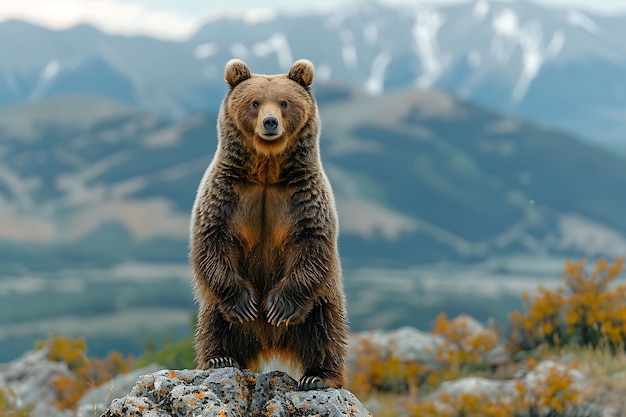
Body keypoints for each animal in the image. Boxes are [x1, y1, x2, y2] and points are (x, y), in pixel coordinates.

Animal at [188, 58, 348, 390]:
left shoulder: (303, 197)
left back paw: (319, 375)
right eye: (255, 102)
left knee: (325, 329)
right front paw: (246, 303)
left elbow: (312, 244)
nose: (271, 122)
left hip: (321, 299)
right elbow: (212, 240)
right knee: (213, 325)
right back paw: (219, 358)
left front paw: (277, 306)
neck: (266, 170)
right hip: (215, 310)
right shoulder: (226, 194)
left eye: (284, 102)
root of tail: (269, 341)